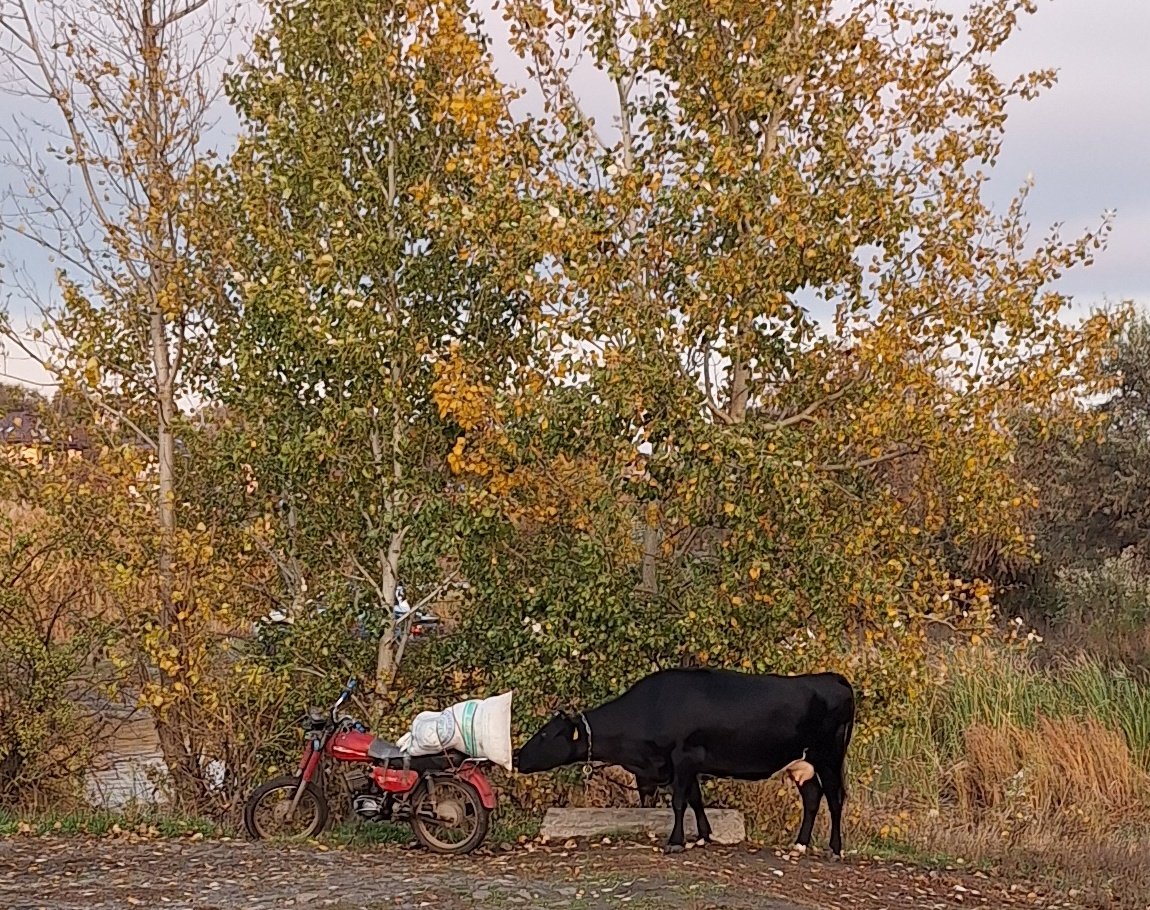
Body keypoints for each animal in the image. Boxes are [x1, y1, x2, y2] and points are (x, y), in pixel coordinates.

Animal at [515, 668, 855, 855]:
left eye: (544, 734)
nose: (517, 756)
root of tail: (834, 679)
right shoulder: (685, 764)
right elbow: (695, 799)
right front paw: (704, 836)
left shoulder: (683, 757)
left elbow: (679, 802)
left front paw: (676, 842)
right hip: (801, 764)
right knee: (812, 797)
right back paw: (800, 844)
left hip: (829, 756)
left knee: (835, 798)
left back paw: (834, 849)